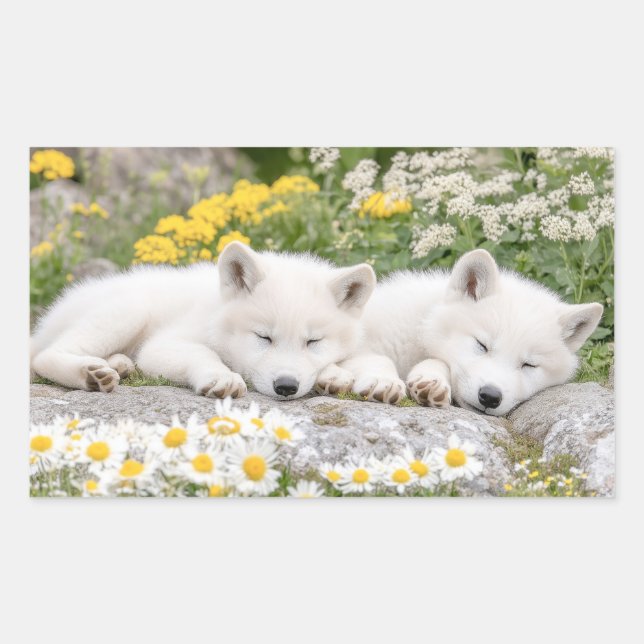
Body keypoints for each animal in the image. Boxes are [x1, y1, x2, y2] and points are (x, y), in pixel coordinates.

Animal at [30, 242, 379, 400]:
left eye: (313, 341)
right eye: (263, 337)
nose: (286, 387)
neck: (216, 315)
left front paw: (333, 374)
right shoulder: (164, 344)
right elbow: (203, 353)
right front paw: (220, 376)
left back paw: (118, 365)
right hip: (129, 310)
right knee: (44, 357)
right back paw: (89, 374)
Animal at [323, 249, 603, 416]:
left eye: (529, 365)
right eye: (481, 345)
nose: (490, 397)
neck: (422, 324)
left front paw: (430, 382)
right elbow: (376, 357)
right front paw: (384, 382)